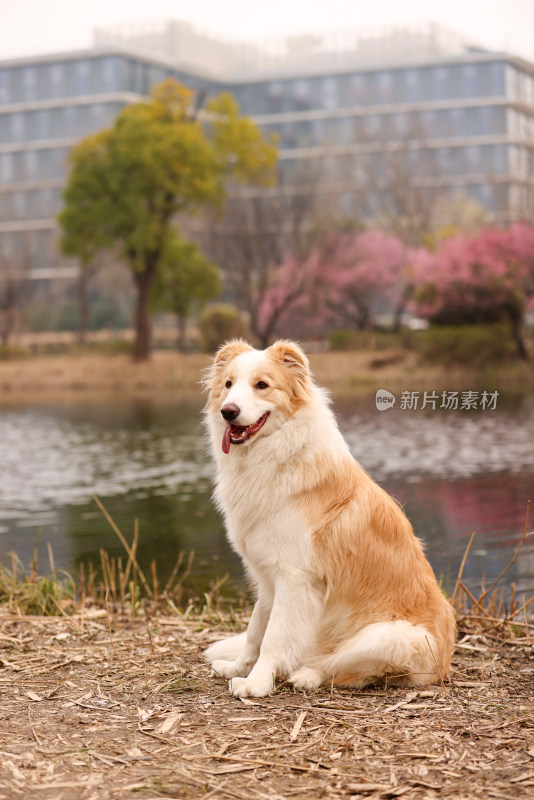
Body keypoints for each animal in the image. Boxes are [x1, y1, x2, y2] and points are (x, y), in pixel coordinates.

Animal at [204, 340, 456, 696]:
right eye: (228, 385)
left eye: (261, 385)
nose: (228, 411)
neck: (275, 453)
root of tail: (444, 666)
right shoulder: (268, 579)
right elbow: (256, 630)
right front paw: (239, 667)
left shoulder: (295, 579)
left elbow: (273, 638)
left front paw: (257, 682)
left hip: (389, 637)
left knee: (347, 668)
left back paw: (307, 675)